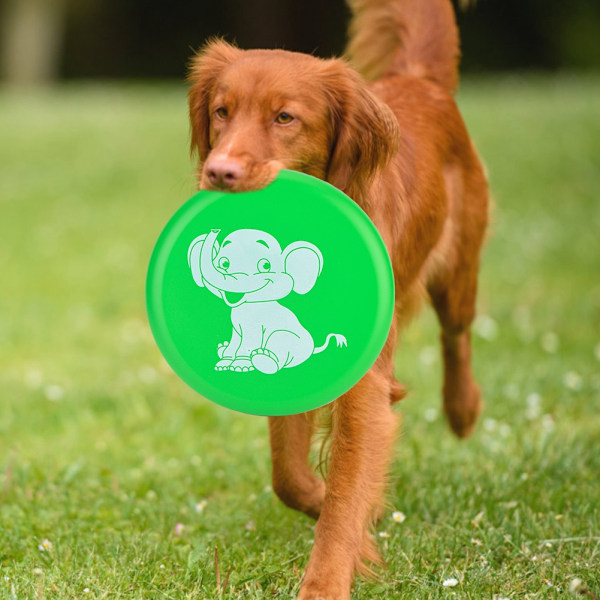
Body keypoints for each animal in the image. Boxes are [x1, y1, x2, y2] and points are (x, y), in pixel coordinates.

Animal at [188, 1, 488, 600]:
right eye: (221, 111)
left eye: (285, 118)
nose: (219, 171)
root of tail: (418, 79)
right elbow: (289, 474)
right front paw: (338, 512)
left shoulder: (365, 385)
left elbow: (346, 494)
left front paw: (326, 579)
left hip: (457, 269)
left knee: (457, 333)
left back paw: (462, 409)